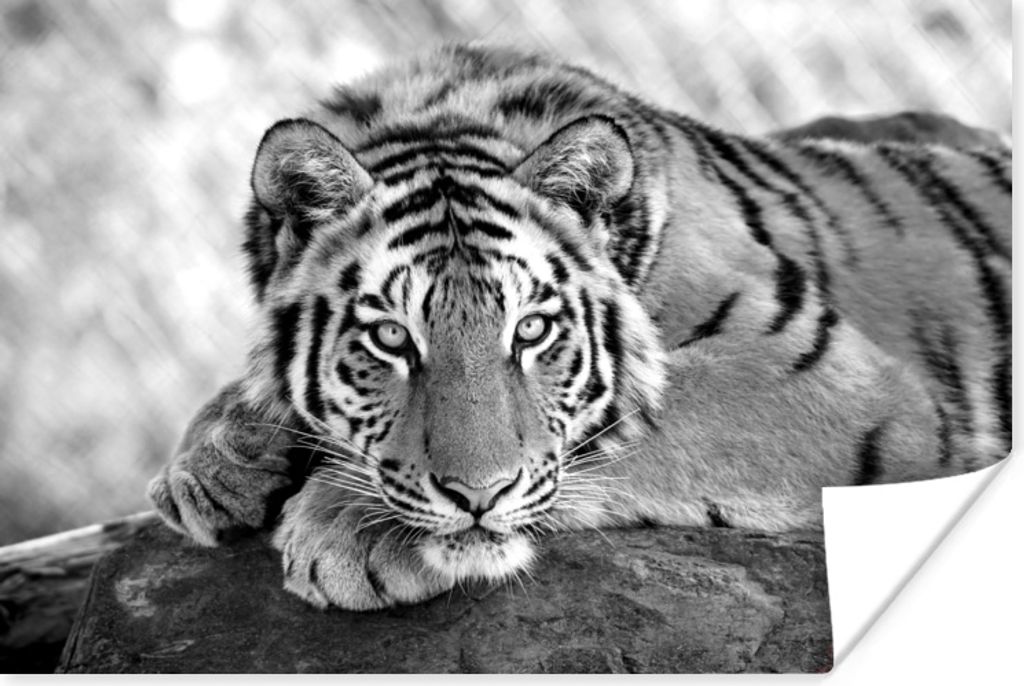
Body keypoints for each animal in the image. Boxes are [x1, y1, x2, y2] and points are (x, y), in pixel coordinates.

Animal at [147, 44, 1011, 611]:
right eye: (391, 338)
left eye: (531, 332)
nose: (477, 498)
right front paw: (216, 459)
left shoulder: (823, 370)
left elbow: (628, 420)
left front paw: (350, 526)